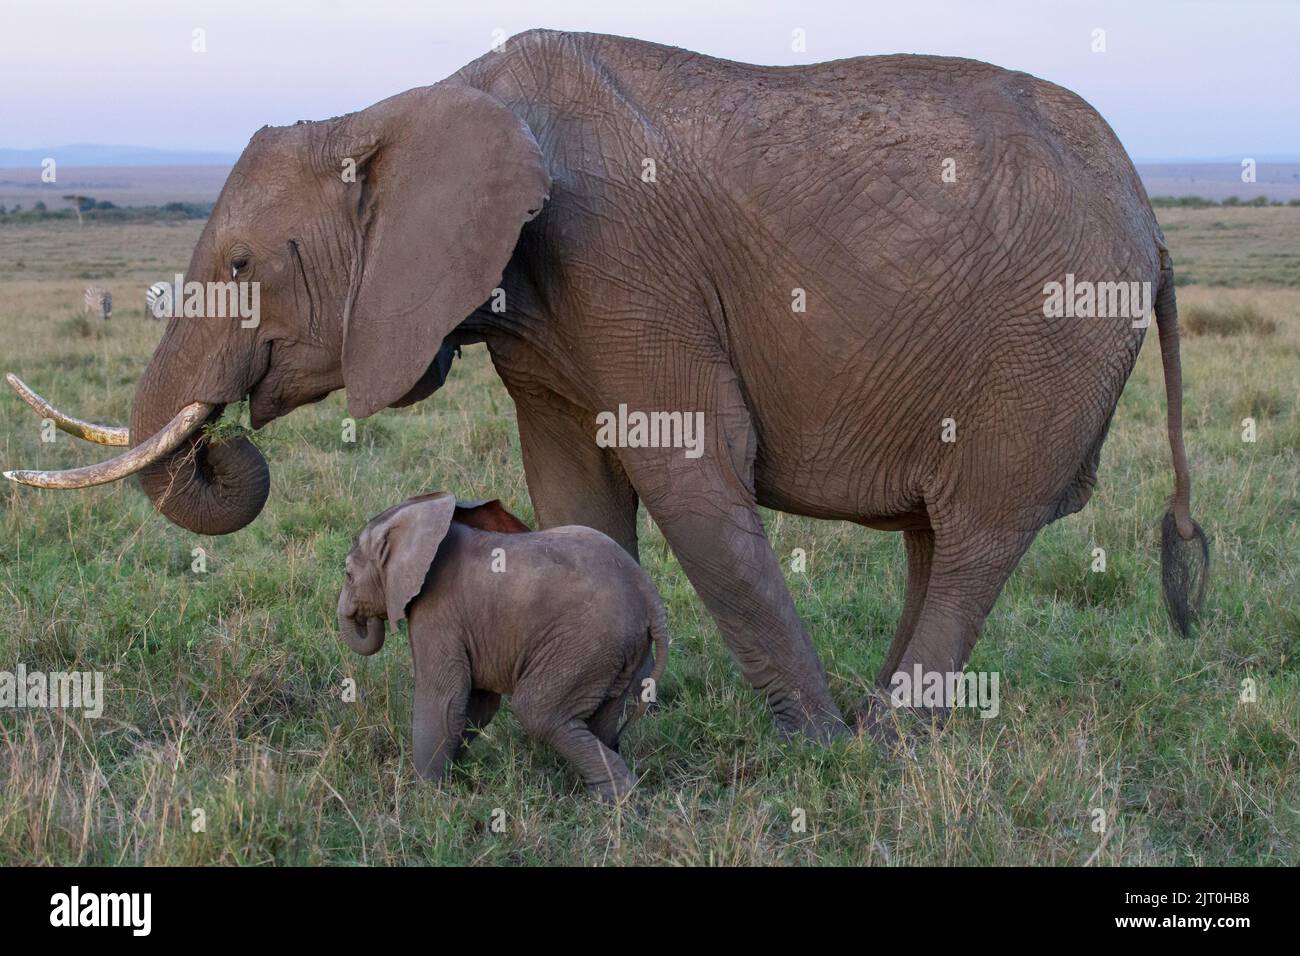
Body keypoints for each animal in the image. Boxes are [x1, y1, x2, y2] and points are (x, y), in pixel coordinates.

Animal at [5, 29, 1208, 744]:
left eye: (246, 264)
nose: (223, 444)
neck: (415, 102)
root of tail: (1152, 224)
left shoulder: (625, 260)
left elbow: (691, 476)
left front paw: (808, 753)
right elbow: (574, 493)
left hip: (1048, 344)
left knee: (973, 537)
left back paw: (880, 747)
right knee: (935, 535)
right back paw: (885, 722)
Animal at [338, 493, 669, 802]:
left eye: (348, 575)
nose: (366, 618)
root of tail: (649, 595)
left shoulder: (438, 613)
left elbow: (444, 699)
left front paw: (427, 796)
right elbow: (476, 704)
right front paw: (451, 777)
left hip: (585, 645)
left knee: (537, 711)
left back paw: (617, 800)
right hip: (618, 652)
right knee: (601, 719)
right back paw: (610, 797)